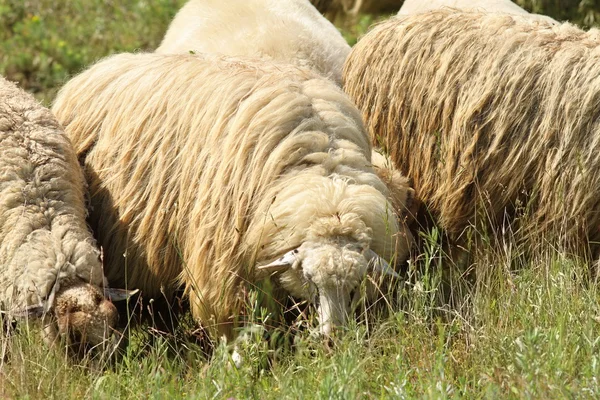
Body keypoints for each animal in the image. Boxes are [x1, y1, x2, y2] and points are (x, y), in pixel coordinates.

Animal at [51, 52, 414, 340]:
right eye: (309, 278)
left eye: (355, 283)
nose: (332, 339)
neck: (323, 177)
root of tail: (99, 66)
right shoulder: (221, 256)